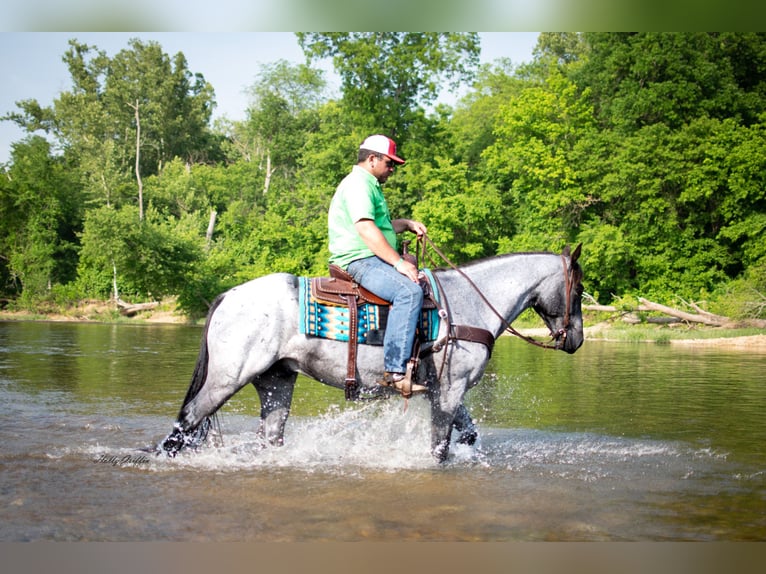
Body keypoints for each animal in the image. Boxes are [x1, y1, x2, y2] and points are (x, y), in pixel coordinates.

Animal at [158, 243, 588, 464]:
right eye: (580, 290)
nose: (576, 340)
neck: (469, 303)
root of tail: (228, 295)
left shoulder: (443, 390)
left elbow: (466, 434)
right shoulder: (450, 390)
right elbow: (439, 447)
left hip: (276, 381)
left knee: (269, 436)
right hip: (227, 379)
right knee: (186, 421)